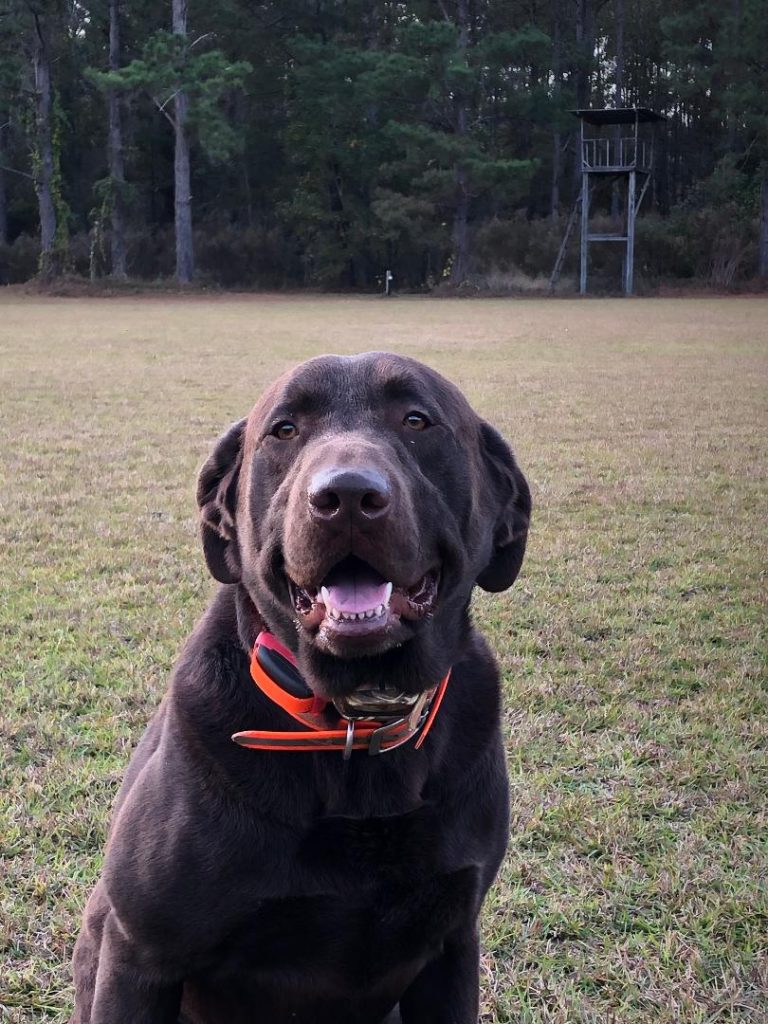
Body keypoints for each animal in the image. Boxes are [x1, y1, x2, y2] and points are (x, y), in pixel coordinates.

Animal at [70, 348, 528, 1019]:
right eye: (284, 430)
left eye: (417, 420)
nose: (347, 495)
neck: (355, 718)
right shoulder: (140, 954)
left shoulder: (451, 946)